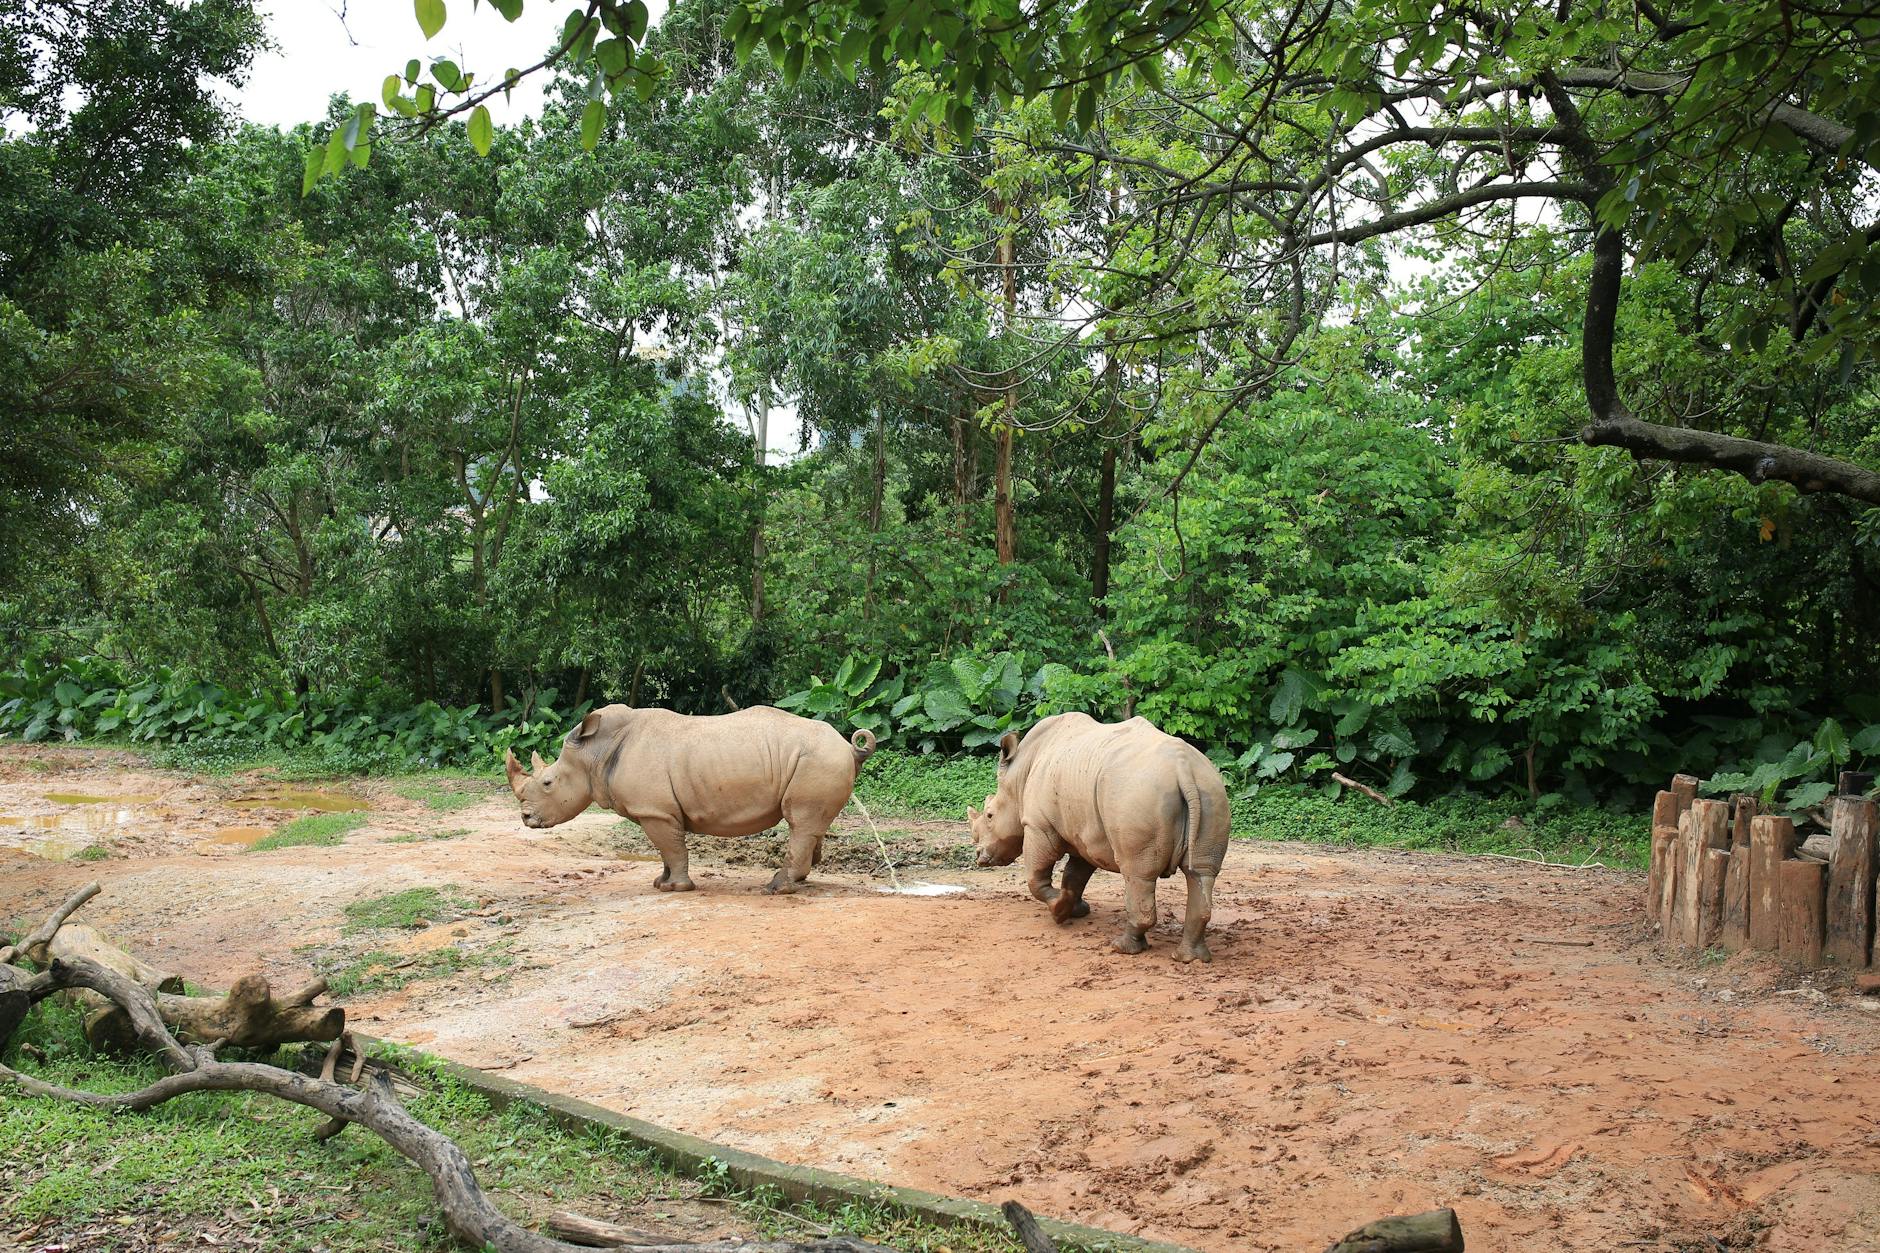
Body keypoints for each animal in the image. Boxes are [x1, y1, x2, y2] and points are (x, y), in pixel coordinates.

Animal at [506, 704, 876, 894]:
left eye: (548, 783)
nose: (525, 818)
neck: (594, 753)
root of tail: (848, 747)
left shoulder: (655, 811)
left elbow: (672, 848)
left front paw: (677, 889)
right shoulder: (658, 811)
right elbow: (665, 852)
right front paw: (661, 883)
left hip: (818, 759)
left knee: (799, 822)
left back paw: (775, 889)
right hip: (818, 760)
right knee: (809, 825)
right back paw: (794, 882)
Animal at [967, 712, 1229, 961]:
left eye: (989, 815)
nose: (979, 856)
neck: (1019, 776)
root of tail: (1183, 768)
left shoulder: (1039, 825)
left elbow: (1035, 876)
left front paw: (1059, 910)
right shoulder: (1083, 835)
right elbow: (1075, 875)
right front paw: (1075, 908)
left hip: (1137, 794)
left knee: (1137, 873)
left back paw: (1122, 948)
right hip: (1210, 789)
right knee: (1200, 874)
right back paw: (1189, 958)